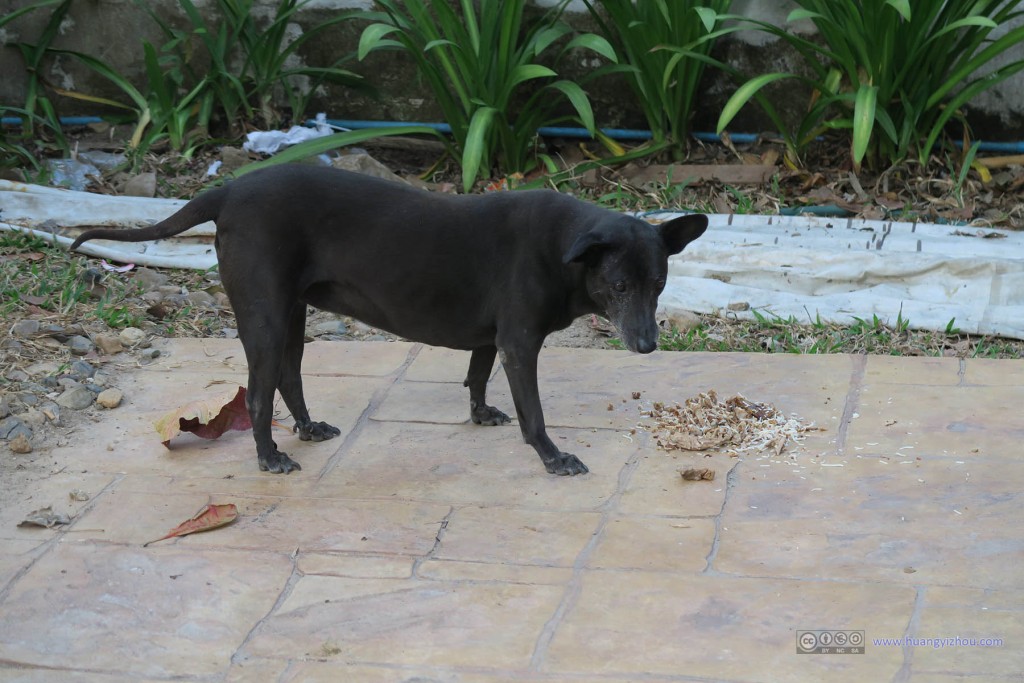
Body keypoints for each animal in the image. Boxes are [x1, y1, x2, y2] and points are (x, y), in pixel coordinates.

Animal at [72, 165, 704, 475]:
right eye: (619, 287)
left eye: (659, 285)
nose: (647, 346)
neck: (563, 247)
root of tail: (227, 191)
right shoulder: (520, 342)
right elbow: (534, 414)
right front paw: (553, 458)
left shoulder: (493, 338)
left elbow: (476, 376)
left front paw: (480, 414)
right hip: (266, 316)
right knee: (257, 394)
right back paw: (269, 457)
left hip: (293, 316)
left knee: (289, 377)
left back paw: (306, 429)